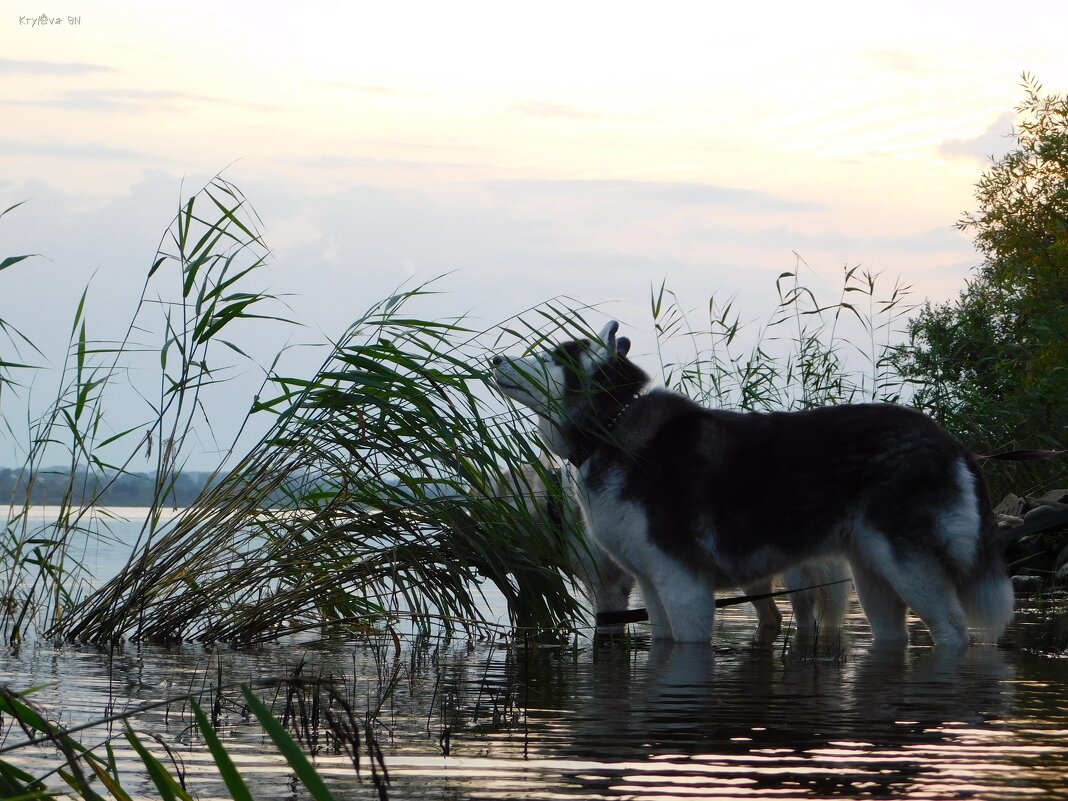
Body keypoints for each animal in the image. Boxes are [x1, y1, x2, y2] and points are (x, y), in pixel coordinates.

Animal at [491, 322, 1008, 649]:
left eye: (550, 356)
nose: (495, 358)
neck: (611, 427)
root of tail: (950, 440)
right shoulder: (651, 588)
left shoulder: (684, 586)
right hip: (872, 576)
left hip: (909, 569)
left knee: (953, 631)